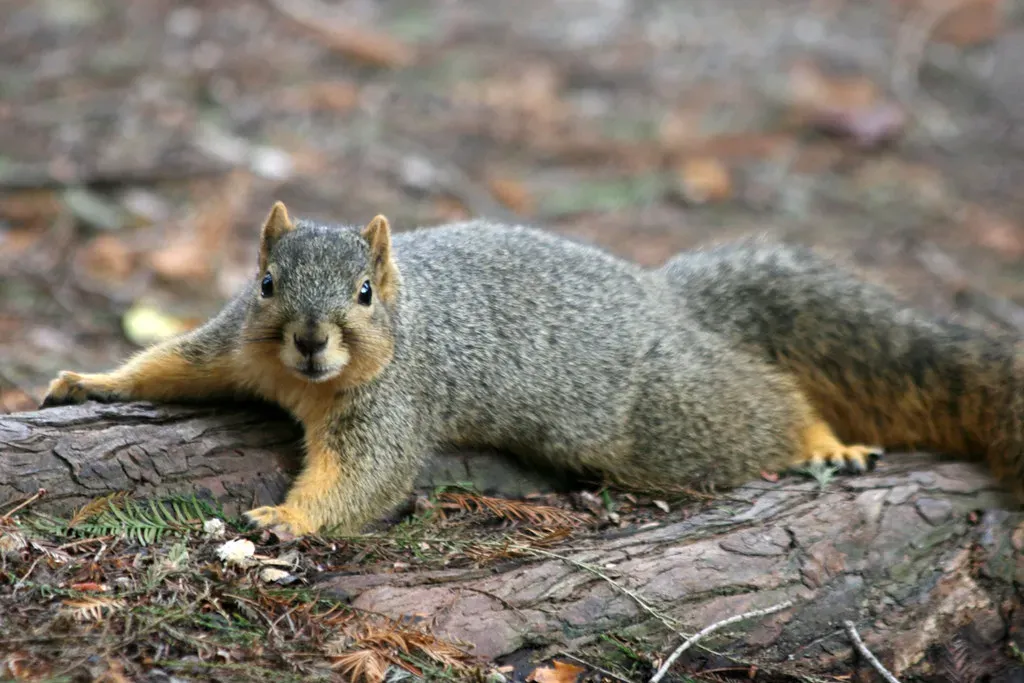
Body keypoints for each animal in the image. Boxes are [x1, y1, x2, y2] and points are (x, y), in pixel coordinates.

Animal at [41, 201, 1024, 536]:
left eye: (365, 292)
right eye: (267, 282)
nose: (312, 341)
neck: (301, 383)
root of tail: (668, 300)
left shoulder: (396, 402)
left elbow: (366, 475)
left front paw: (288, 519)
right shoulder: (232, 342)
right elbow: (170, 364)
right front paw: (89, 381)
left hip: (671, 417)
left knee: (766, 404)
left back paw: (822, 438)